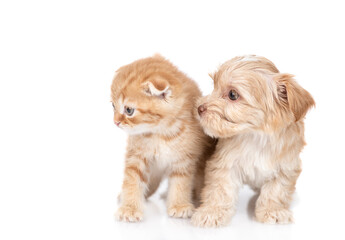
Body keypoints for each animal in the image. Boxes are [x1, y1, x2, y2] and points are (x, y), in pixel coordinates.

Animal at [110, 55, 214, 222]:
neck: (160, 132)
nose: (116, 122)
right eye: (113, 106)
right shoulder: (137, 155)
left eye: (129, 110)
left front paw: (179, 205)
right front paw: (129, 207)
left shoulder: (184, 158)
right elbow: (132, 179)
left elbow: (180, 182)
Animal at [191, 54, 314, 227]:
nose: (199, 108)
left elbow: (276, 191)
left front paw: (272, 210)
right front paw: (212, 212)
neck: (256, 136)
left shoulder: (286, 167)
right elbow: (219, 190)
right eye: (214, 86)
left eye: (232, 95)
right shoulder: (224, 164)